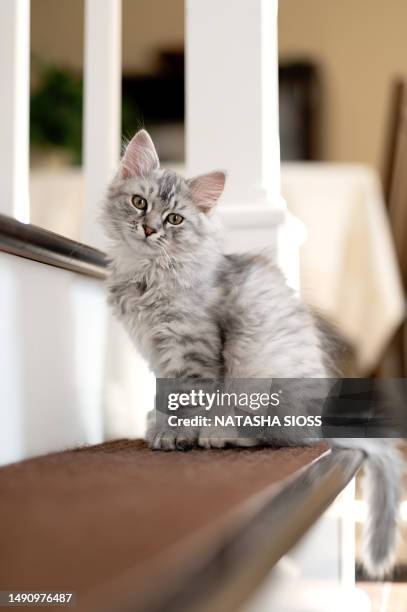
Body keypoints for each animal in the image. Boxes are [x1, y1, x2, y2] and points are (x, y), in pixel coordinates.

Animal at [103, 129, 404, 580]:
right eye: (140, 202)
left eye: (174, 220)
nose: (148, 228)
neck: (148, 275)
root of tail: (320, 421)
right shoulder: (157, 355)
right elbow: (165, 399)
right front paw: (160, 427)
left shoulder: (193, 348)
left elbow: (189, 403)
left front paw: (178, 436)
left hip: (260, 378)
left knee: (278, 437)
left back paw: (220, 435)